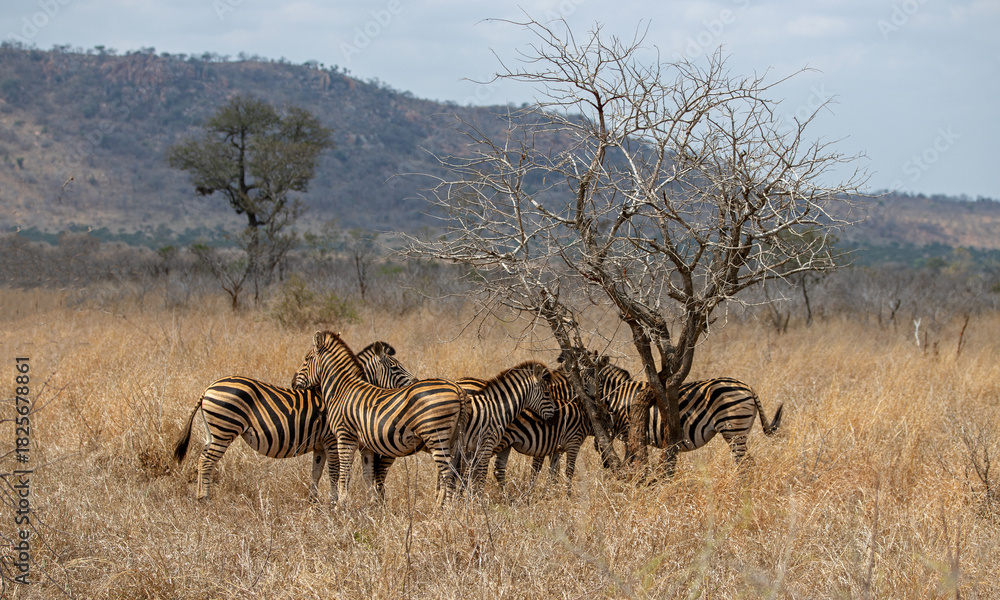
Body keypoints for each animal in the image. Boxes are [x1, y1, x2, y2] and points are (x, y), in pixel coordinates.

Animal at [172, 340, 415, 505]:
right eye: (395, 367)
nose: (415, 382)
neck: (342, 390)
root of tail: (208, 388)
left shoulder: (320, 445)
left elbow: (316, 472)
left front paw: (313, 502)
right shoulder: (331, 440)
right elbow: (335, 473)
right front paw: (333, 503)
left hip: (212, 432)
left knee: (203, 459)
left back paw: (201, 496)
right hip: (224, 430)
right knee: (206, 461)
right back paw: (204, 499)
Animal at [292, 331, 470, 507]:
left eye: (307, 359)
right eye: (394, 366)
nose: (293, 382)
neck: (342, 390)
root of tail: (457, 388)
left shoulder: (345, 437)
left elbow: (344, 474)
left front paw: (340, 505)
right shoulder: (367, 446)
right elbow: (368, 474)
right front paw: (373, 504)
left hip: (436, 436)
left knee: (448, 473)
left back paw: (446, 509)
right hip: (454, 439)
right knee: (453, 472)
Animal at [598, 363, 783, 464]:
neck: (616, 395)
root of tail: (748, 387)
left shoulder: (628, 432)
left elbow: (630, 461)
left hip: (733, 429)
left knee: (745, 464)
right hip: (739, 429)